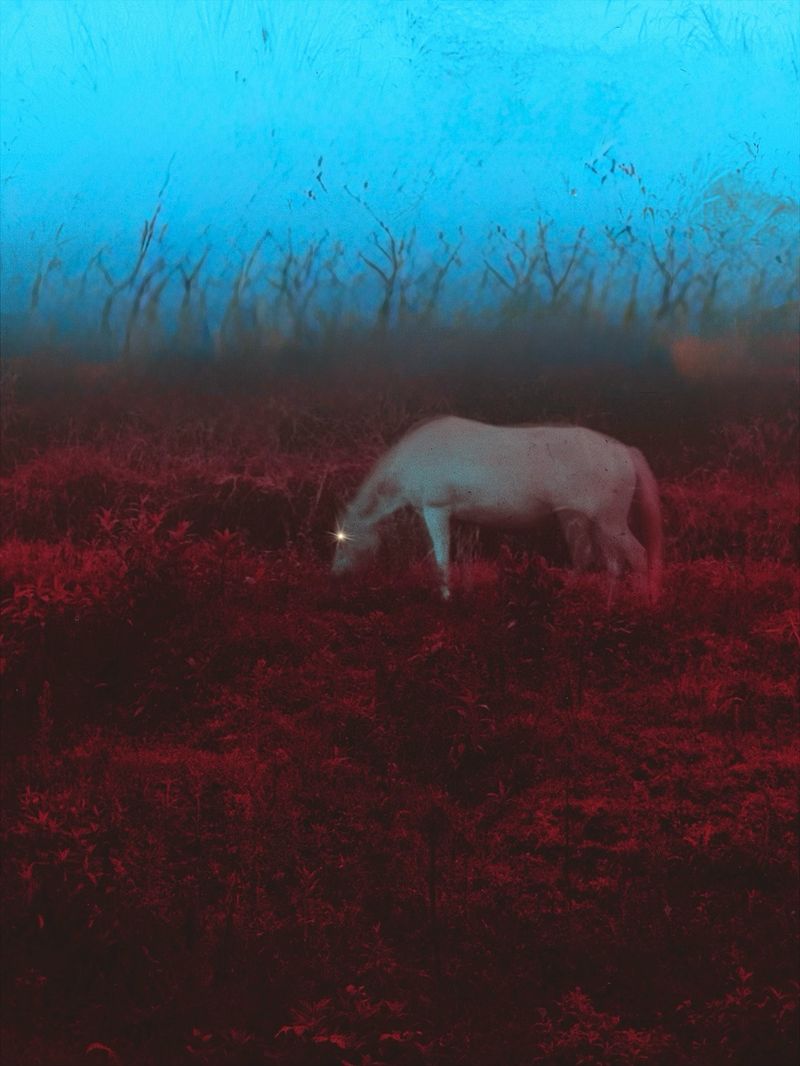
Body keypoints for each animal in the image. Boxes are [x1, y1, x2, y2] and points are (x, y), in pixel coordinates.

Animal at [331, 416, 662, 603]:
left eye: (343, 539)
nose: (336, 576)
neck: (416, 456)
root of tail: (623, 451)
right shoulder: (462, 518)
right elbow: (462, 558)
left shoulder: (436, 510)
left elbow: (442, 558)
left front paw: (445, 596)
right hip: (596, 521)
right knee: (612, 563)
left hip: (608, 521)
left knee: (636, 556)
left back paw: (643, 603)